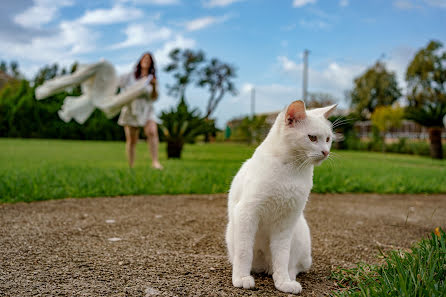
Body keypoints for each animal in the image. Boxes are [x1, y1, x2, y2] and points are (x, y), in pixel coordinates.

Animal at [226, 100, 334, 294]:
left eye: (328, 139)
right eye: (312, 138)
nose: (325, 152)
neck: (291, 170)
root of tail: (263, 267)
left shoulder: (286, 222)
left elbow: (282, 256)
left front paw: (282, 282)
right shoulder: (247, 213)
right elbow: (244, 251)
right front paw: (241, 278)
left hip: (298, 232)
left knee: (292, 265)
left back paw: (287, 279)